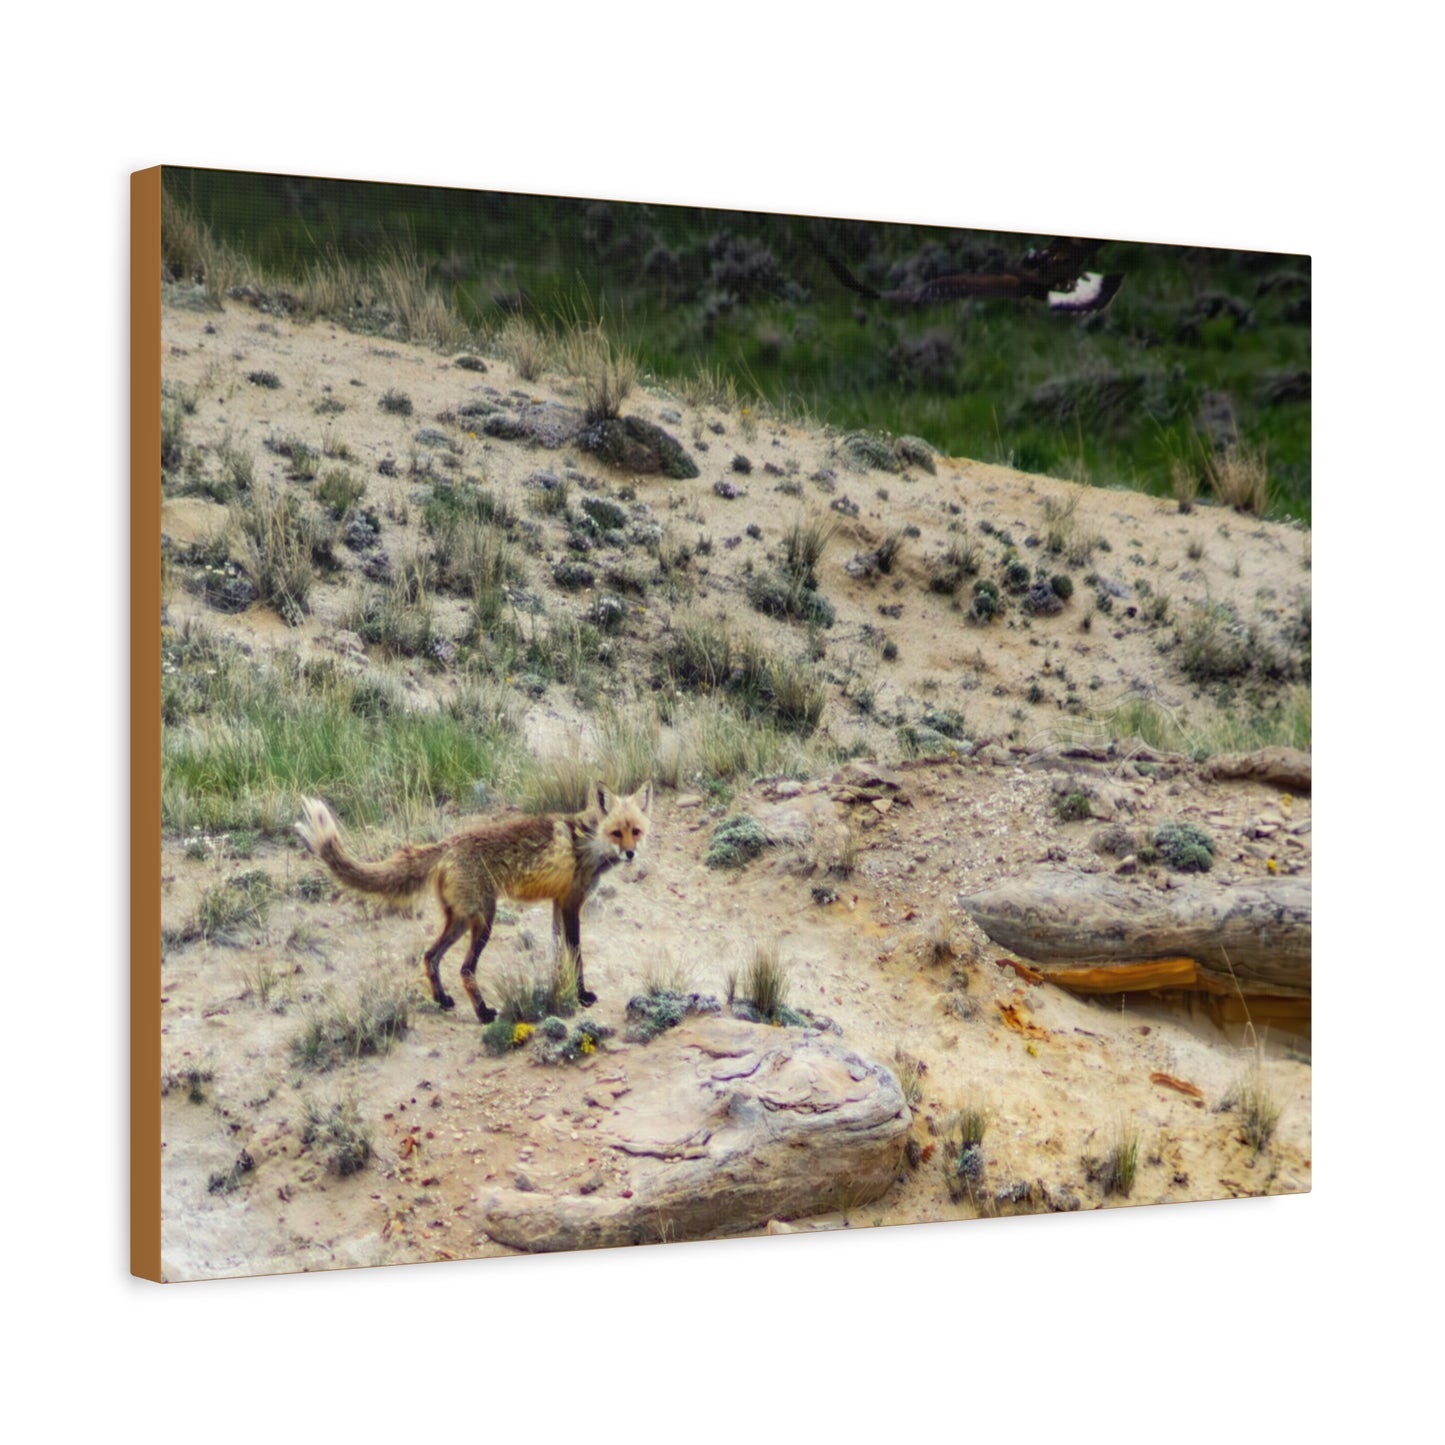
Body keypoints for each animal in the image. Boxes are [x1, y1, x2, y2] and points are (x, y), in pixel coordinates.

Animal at [294, 781, 652, 1023]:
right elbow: (575, 954)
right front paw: (581, 995)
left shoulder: (557, 903)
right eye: (617, 833)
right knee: (465, 969)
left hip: (461, 920)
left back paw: (442, 1001)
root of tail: (447, 843)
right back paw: (483, 1013)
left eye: (635, 831)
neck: (588, 843)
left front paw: (557, 990)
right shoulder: (570, 904)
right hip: (484, 920)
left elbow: (557, 953)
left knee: (430, 956)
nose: (630, 854)